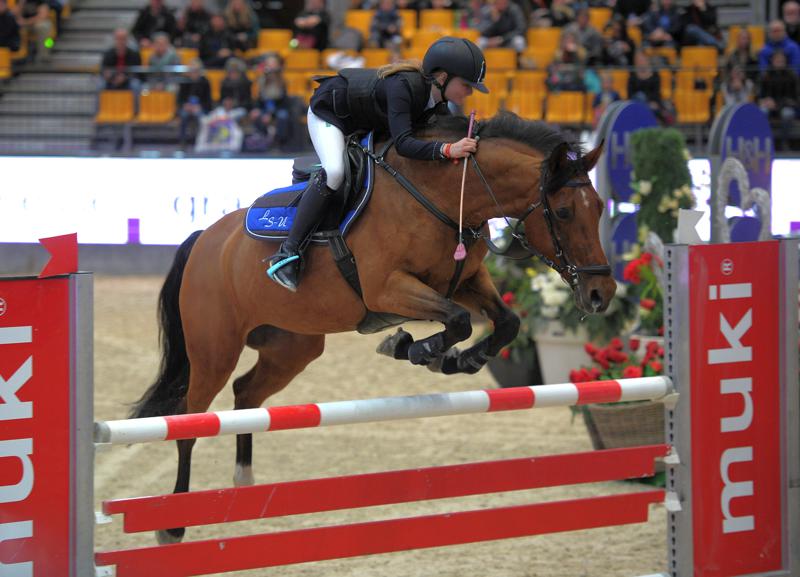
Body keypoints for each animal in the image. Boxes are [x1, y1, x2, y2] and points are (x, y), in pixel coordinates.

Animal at [133, 110, 620, 544]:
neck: (443, 195)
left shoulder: (465, 281)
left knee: (246, 394)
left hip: (293, 347)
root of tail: (205, 240)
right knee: (190, 420)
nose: (601, 292)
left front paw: (456, 359)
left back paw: (244, 483)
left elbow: (504, 322)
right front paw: (414, 348)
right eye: (562, 212)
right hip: (214, 349)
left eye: (599, 207)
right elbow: (458, 320)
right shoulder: (386, 289)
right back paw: (174, 524)